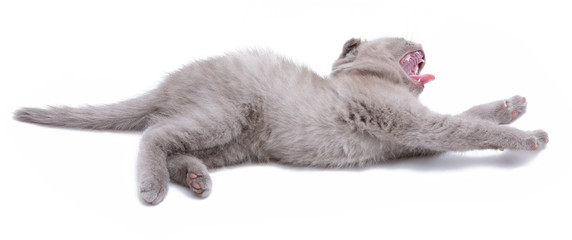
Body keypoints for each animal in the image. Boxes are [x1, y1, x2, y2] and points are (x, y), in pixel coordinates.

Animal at [14, 37, 548, 204]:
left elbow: (470, 115)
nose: (420, 40)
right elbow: (472, 129)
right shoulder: (414, 125)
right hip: (225, 116)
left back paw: (196, 179)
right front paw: (530, 135)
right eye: (400, 40)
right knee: (154, 133)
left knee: (172, 143)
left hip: (233, 142)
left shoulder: (417, 134)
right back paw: (152, 189)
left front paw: (512, 105)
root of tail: (169, 83)